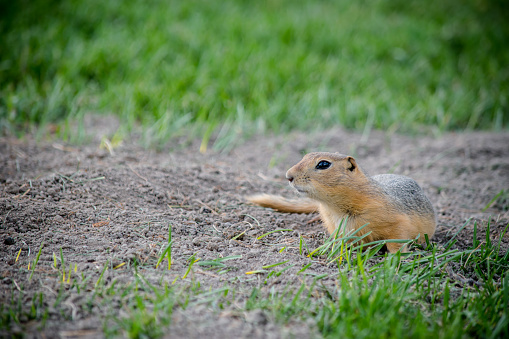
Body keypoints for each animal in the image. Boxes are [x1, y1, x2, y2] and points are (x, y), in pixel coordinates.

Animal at [247, 153, 436, 254]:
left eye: (323, 164)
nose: (288, 176)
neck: (334, 206)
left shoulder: (397, 221)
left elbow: (397, 239)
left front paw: (396, 258)